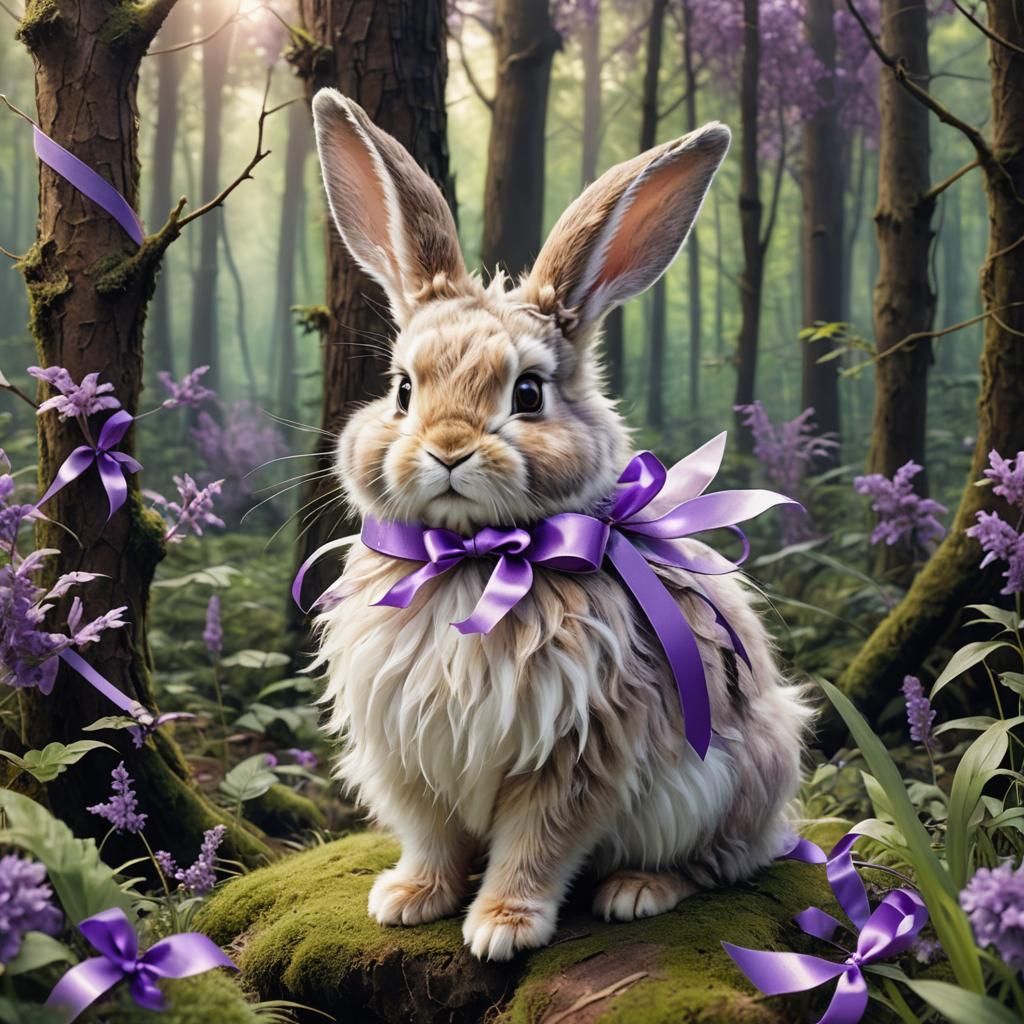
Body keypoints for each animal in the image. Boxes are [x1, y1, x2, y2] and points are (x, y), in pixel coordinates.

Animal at [308, 87, 811, 963]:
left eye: (529, 392)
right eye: (402, 389)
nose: (447, 450)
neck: (477, 558)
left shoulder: (577, 752)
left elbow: (537, 845)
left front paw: (501, 930)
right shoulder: (410, 755)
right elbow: (432, 838)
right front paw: (407, 900)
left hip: (727, 780)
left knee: (718, 862)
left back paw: (637, 892)